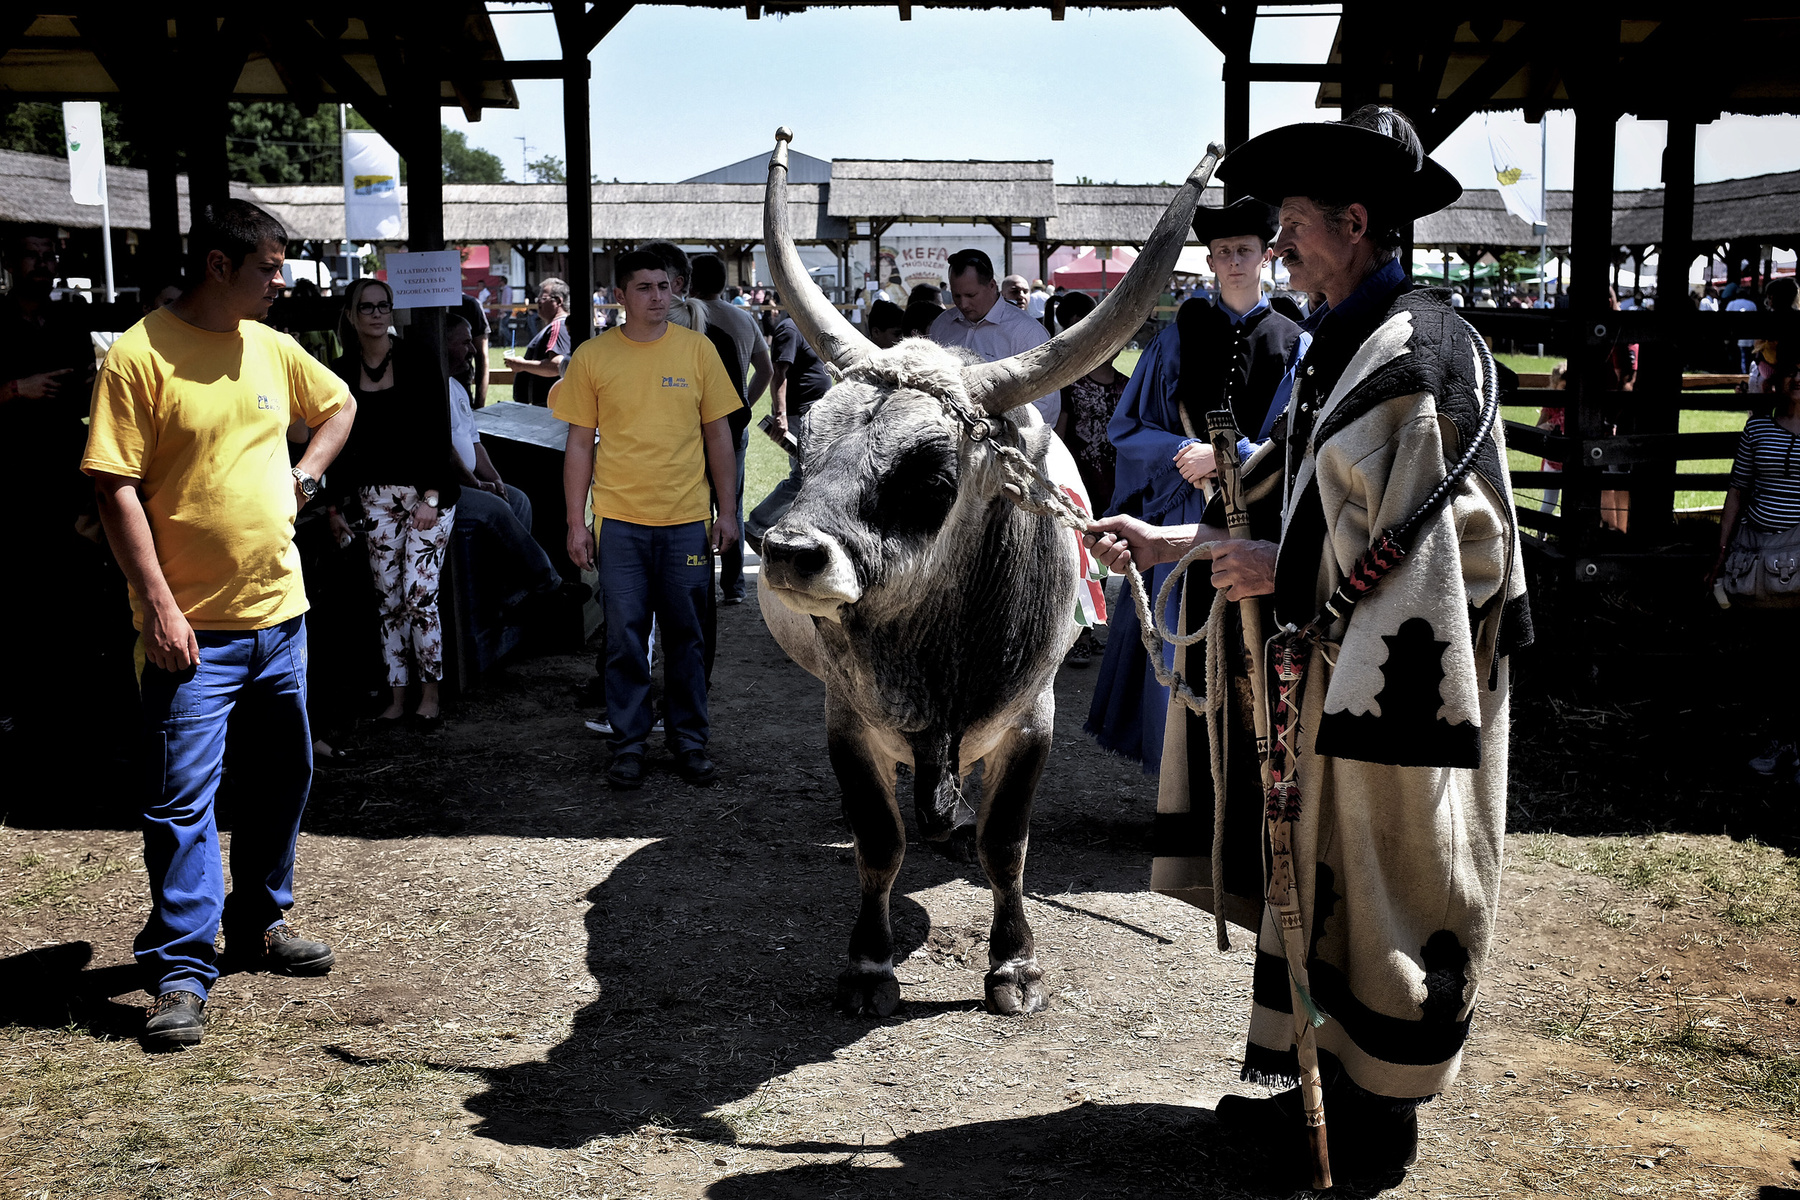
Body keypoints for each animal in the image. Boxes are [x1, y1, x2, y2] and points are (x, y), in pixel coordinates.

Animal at [752, 129, 1216, 1014]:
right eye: (810, 442)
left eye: (933, 477)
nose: (788, 552)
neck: (936, 652)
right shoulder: (844, 719)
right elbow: (878, 841)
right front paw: (870, 965)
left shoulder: (1032, 720)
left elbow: (1008, 846)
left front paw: (1014, 964)